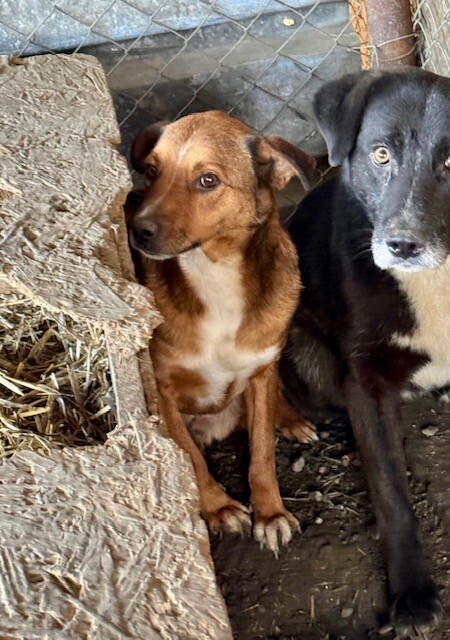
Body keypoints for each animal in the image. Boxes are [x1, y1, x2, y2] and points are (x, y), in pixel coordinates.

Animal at [128, 111, 319, 554]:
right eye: (152, 170)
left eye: (207, 180)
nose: (136, 229)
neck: (214, 274)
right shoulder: (161, 388)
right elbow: (189, 456)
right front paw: (219, 508)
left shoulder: (261, 372)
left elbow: (263, 451)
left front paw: (270, 513)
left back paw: (291, 419)